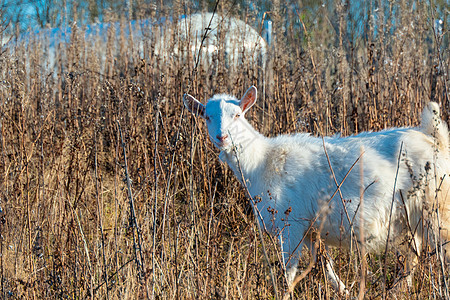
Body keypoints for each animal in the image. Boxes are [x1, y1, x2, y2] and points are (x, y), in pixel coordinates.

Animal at [183, 85, 450, 292]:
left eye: (238, 114)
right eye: (206, 117)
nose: (222, 137)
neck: (262, 161)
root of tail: (434, 138)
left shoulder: (290, 226)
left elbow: (288, 272)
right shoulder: (310, 230)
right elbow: (325, 265)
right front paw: (344, 291)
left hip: (436, 208)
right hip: (410, 218)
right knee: (412, 258)